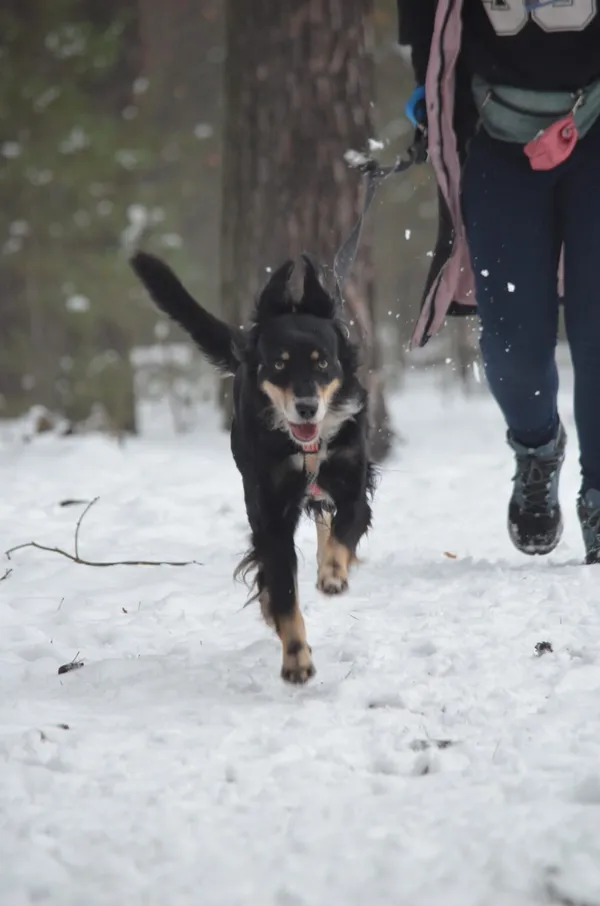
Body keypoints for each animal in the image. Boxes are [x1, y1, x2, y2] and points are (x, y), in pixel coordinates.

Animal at [130, 251, 376, 680]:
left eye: (322, 363)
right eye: (278, 365)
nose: (306, 407)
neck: (305, 444)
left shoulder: (353, 485)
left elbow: (344, 530)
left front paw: (332, 573)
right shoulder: (270, 510)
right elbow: (282, 585)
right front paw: (296, 657)